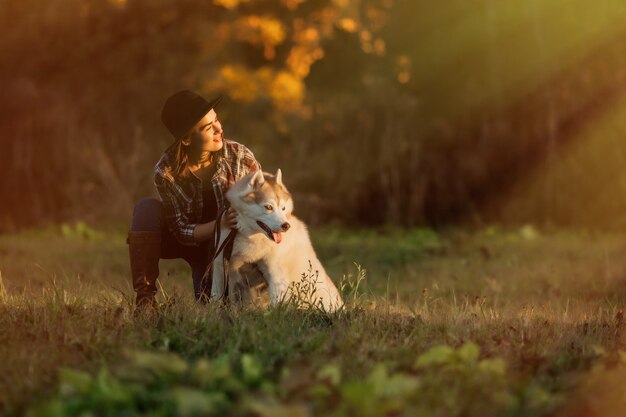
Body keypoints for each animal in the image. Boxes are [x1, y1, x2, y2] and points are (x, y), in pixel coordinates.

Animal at [212, 167, 344, 310]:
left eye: (283, 208)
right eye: (268, 207)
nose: (286, 226)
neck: (252, 237)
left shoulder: (276, 273)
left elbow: (277, 301)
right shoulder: (220, 266)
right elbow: (216, 296)